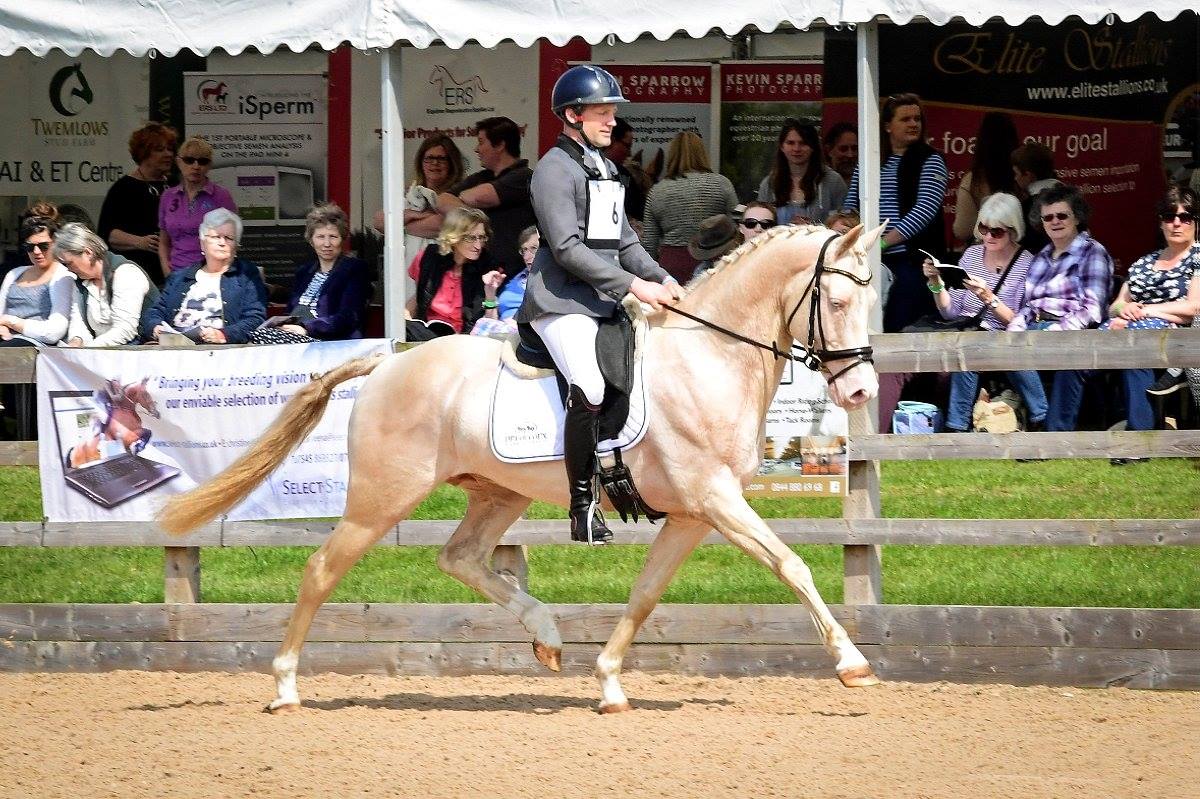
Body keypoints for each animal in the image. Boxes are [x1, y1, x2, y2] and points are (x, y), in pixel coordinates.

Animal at [159, 220, 883, 710]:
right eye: (837, 303)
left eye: (870, 302)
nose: (861, 393)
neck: (708, 357)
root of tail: (388, 362)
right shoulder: (715, 499)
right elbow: (792, 564)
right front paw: (851, 663)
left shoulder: (694, 513)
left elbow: (646, 594)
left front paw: (610, 683)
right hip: (381, 498)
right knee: (321, 569)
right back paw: (284, 686)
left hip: (496, 493)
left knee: (462, 558)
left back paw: (547, 635)